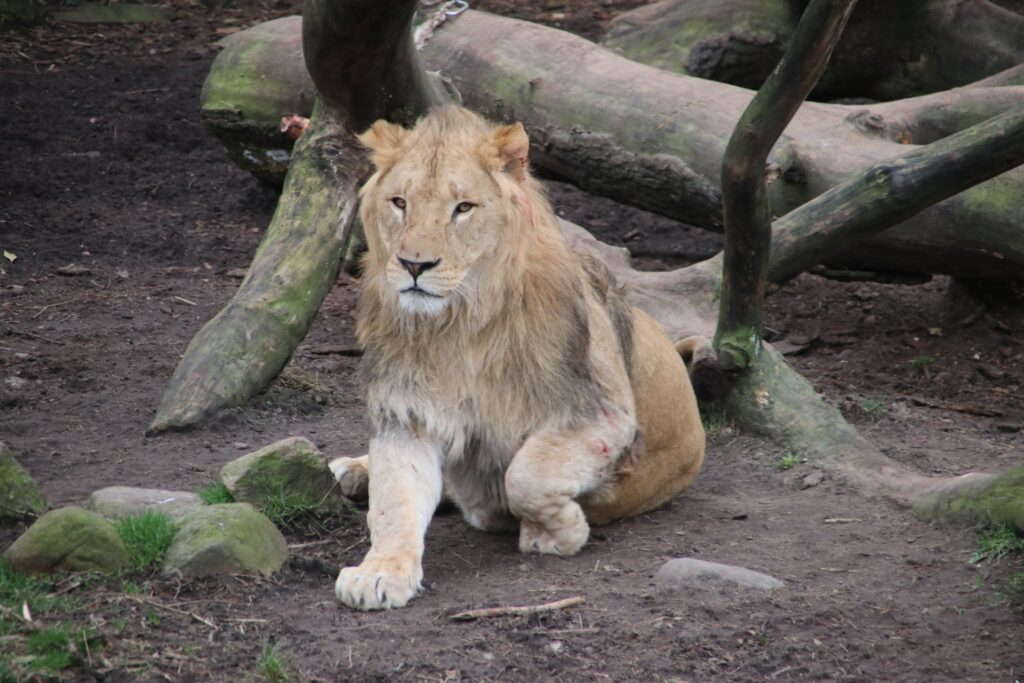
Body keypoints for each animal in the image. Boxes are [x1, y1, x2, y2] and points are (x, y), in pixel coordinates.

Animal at [327, 108, 712, 614]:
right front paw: (380, 572)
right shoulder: (407, 412)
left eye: (463, 208)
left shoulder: (599, 414)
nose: (414, 265)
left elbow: (526, 474)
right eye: (399, 203)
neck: (458, 324)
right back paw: (354, 470)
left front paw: (555, 533)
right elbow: (394, 502)